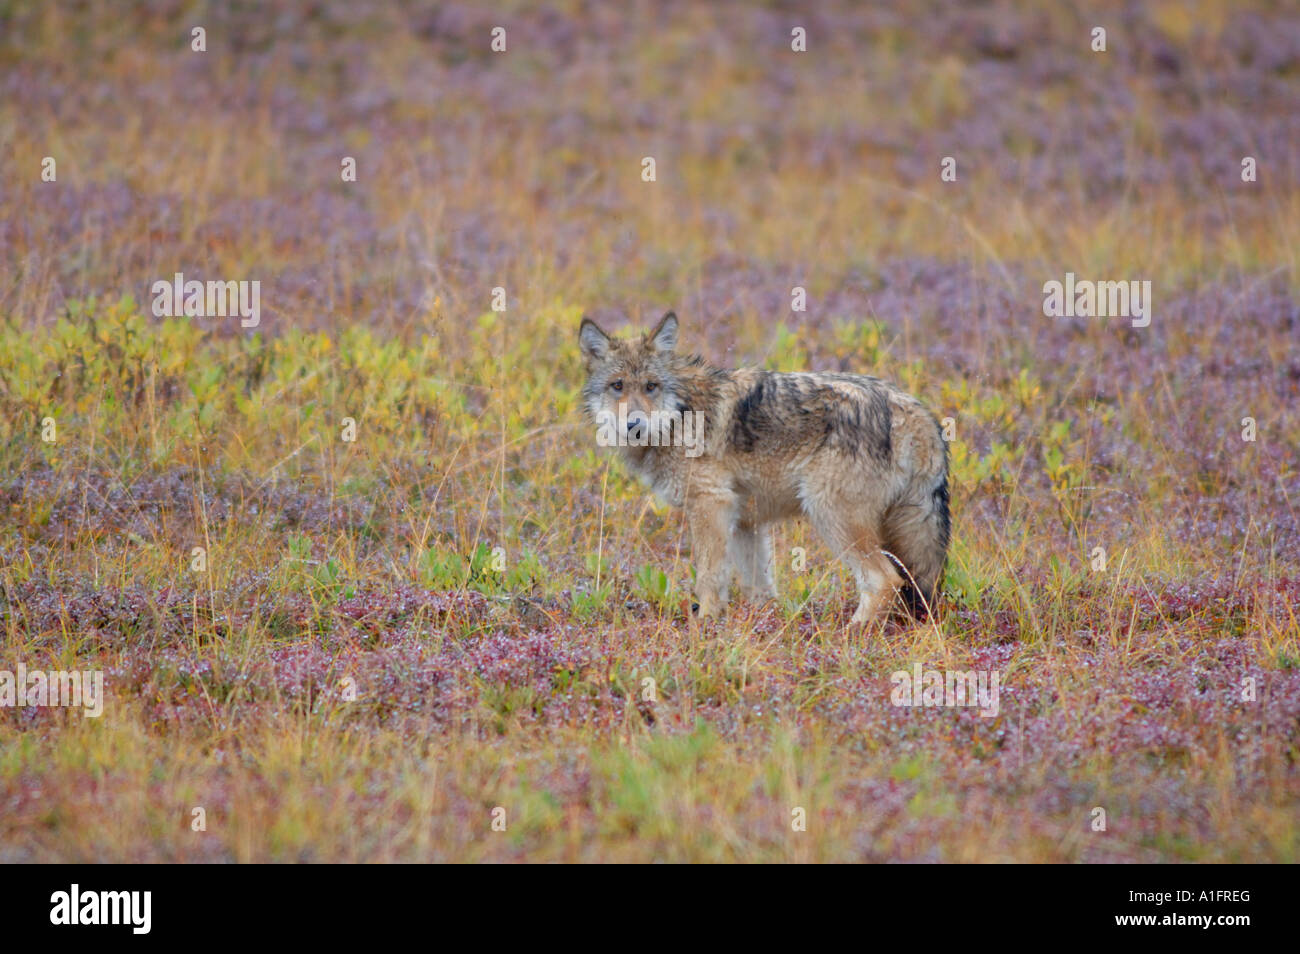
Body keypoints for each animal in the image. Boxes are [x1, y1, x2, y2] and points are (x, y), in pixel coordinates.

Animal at [585, 314, 951, 629]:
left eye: (651, 386)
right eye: (617, 386)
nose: (634, 424)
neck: (681, 414)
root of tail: (916, 411)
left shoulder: (711, 504)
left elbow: (709, 579)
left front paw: (704, 628)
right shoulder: (746, 523)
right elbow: (759, 591)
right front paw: (760, 625)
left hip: (831, 517)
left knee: (884, 580)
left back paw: (851, 634)